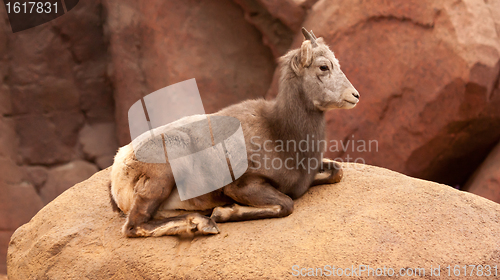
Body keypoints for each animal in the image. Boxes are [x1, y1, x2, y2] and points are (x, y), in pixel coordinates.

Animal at [109, 29, 360, 236]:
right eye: (324, 67)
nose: (355, 95)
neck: (280, 134)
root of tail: (119, 166)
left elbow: (337, 171)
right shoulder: (243, 186)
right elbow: (286, 204)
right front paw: (223, 212)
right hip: (163, 173)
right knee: (134, 226)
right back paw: (203, 224)